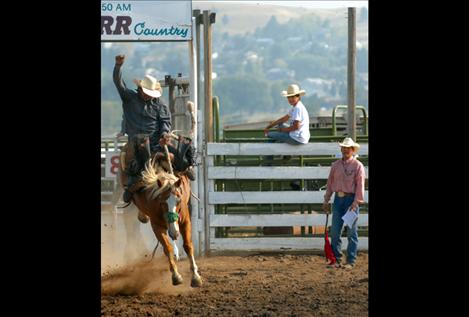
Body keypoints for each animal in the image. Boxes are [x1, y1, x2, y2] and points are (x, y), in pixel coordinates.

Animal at [119, 146, 201, 286]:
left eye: (179, 200)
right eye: (161, 202)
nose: (174, 232)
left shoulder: (185, 220)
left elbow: (188, 245)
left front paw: (196, 277)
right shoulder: (156, 225)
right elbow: (167, 248)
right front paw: (176, 276)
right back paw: (143, 216)